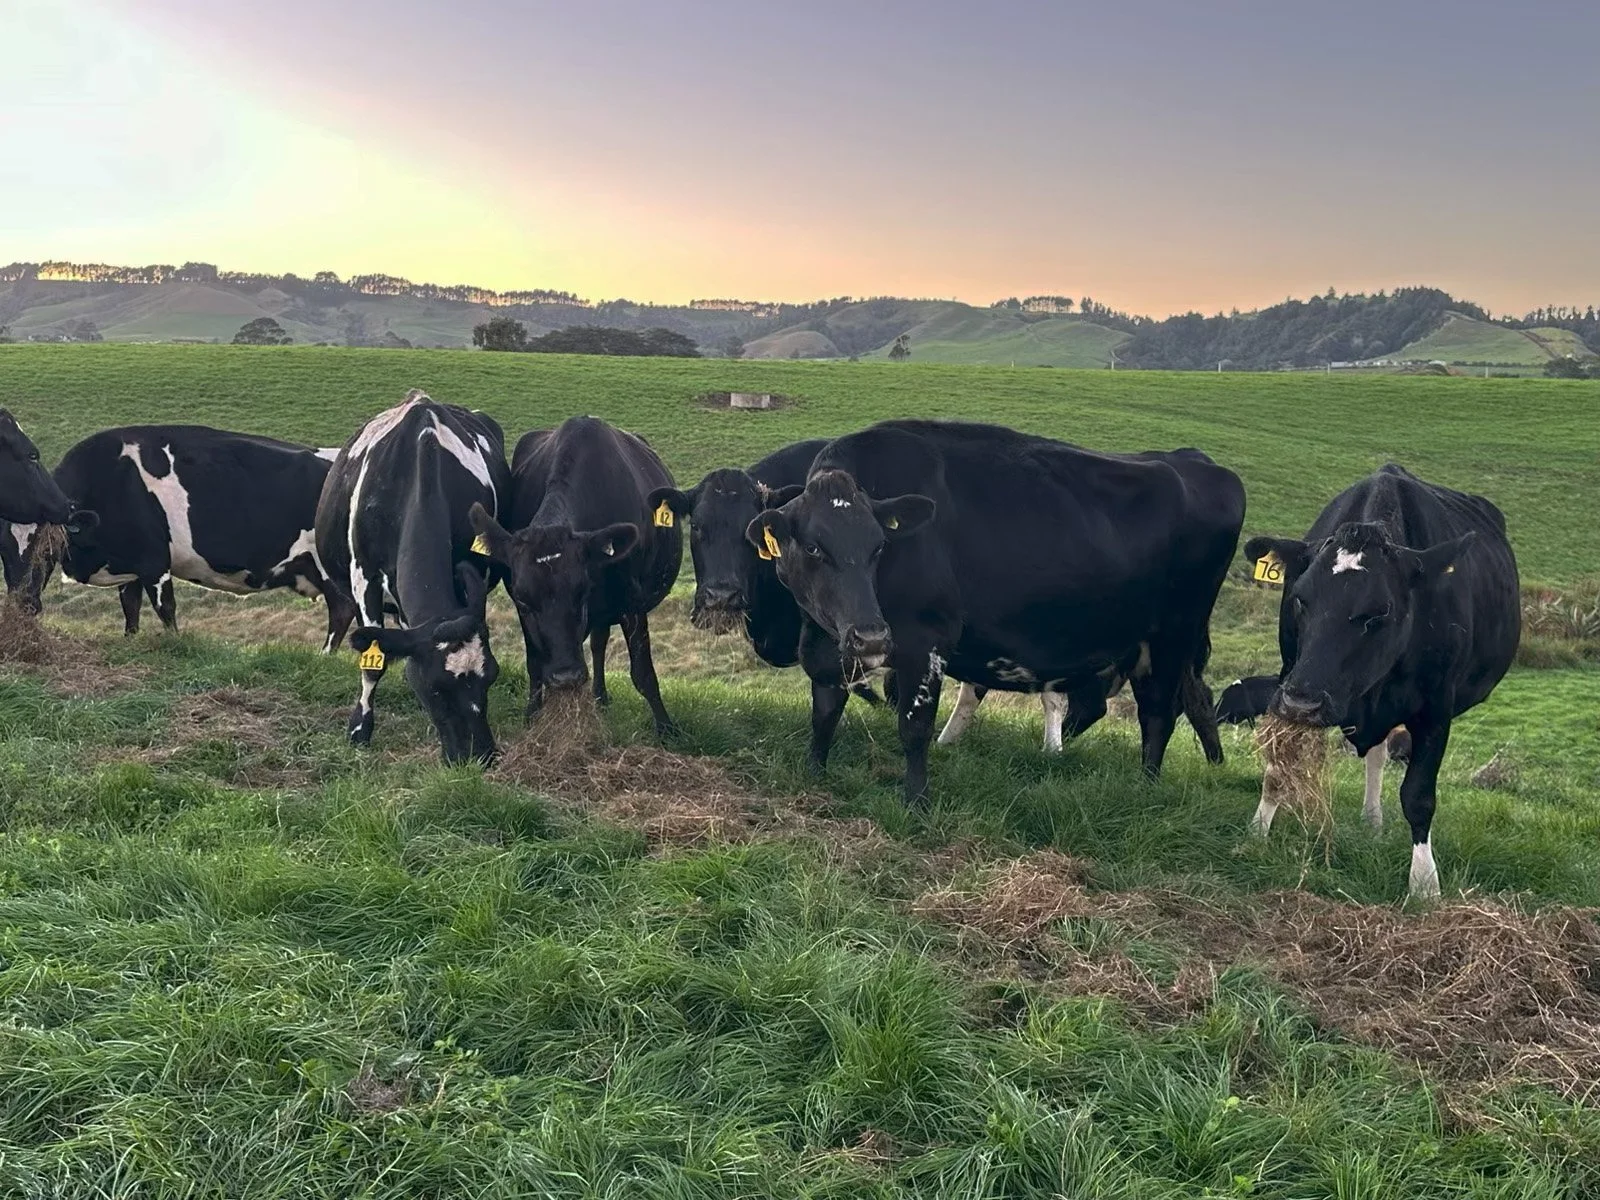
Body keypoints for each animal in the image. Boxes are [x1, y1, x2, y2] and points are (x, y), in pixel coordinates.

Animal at [17, 425, 355, 646]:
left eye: (46, 546)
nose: (24, 601)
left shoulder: (154, 560)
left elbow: (165, 608)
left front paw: (175, 642)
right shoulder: (131, 565)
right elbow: (130, 607)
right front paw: (130, 640)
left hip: (328, 567)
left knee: (342, 611)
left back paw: (324, 655)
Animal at [313, 390, 512, 765]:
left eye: (492, 676)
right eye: (435, 688)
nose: (479, 756)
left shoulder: (472, 567)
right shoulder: (364, 574)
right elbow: (374, 662)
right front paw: (360, 729)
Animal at [467, 415, 680, 735]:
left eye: (582, 591)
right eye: (525, 600)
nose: (566, 676)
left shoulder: (632, 600)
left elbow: (643, 671)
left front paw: (666, 728)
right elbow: (534, 664)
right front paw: (532, 715)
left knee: (599, 643)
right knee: (597, 643)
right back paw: (599, 696)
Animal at [743, 419, 1245, 806]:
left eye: (879, 547)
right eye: (813, 547)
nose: (870, 636)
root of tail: (1199, 464)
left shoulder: (925, 642)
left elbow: (913, 727)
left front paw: (916, 802)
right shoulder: (829, 647)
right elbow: (825, 713)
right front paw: (814, 774)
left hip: (1173, 635)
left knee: (1158, 712)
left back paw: (1145, 788)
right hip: (1143, 644)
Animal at [1242, 463, 1519, 898]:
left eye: (1380, 611)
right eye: (1300, 598)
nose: (1305, 702)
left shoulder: (1436, 708)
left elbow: (1419, 796)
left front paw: (1424, 884)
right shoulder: (1291, 676)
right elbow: (1277, 767)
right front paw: (1257, 833)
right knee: (1376, 752)